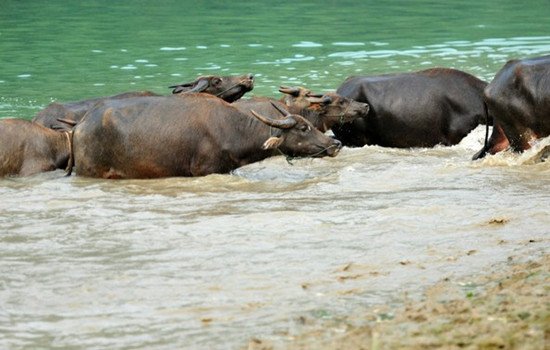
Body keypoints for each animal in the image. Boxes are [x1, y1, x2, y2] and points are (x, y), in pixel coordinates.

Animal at [73, 94, 340, 179]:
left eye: (311, 125)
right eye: (303, 128)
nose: (335, 143)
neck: (233, 129)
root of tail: (80, 126)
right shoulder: (204, 170)